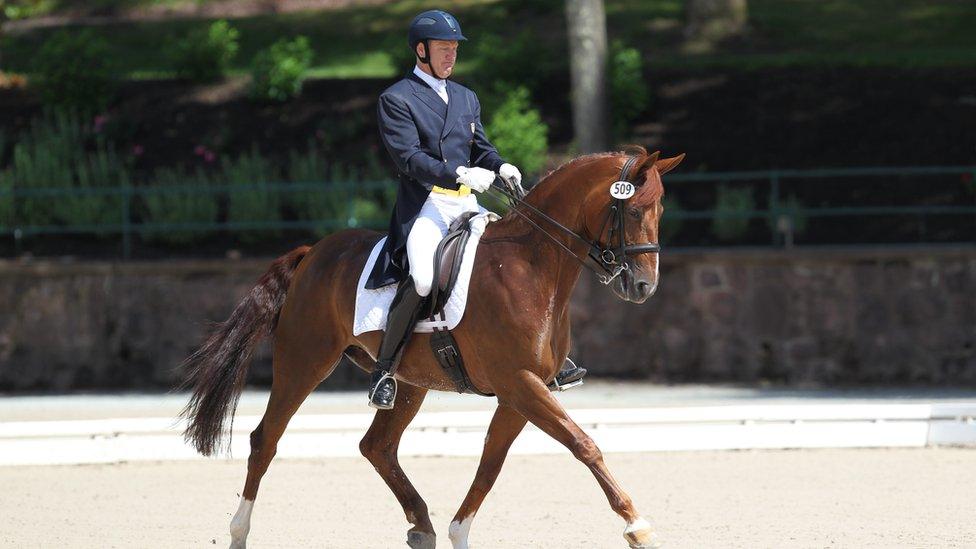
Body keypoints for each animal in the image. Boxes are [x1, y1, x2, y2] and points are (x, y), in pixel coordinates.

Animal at [179, 147, 684, 548]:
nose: (644, 287)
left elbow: (490, 464)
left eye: (661, 210)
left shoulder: (521, 391)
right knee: (266, 439)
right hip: (304, 361)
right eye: (634, 212)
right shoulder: (519, 384)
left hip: (409, 382)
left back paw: (422, 525)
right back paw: (239, 532)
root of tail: (313, 252)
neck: (531, 267)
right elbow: (584, 444)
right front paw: (637, 526)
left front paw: (459, 532)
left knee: (376, 446)